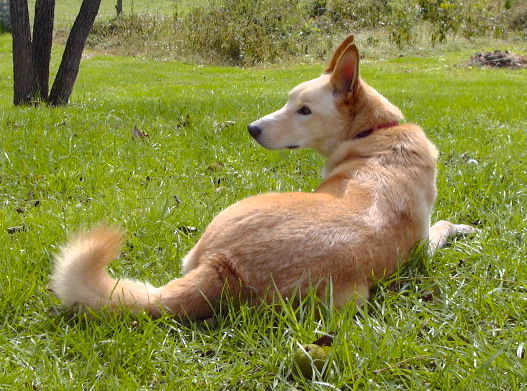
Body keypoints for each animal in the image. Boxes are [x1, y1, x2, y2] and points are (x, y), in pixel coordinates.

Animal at [49, 35, 474, 320]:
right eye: (288, 101)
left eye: (304, 110)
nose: (251, 129)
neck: (375, 133)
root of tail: (226, 265)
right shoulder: (422, 251)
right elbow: (442, 223)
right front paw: (463, 226)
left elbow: (443, 223)